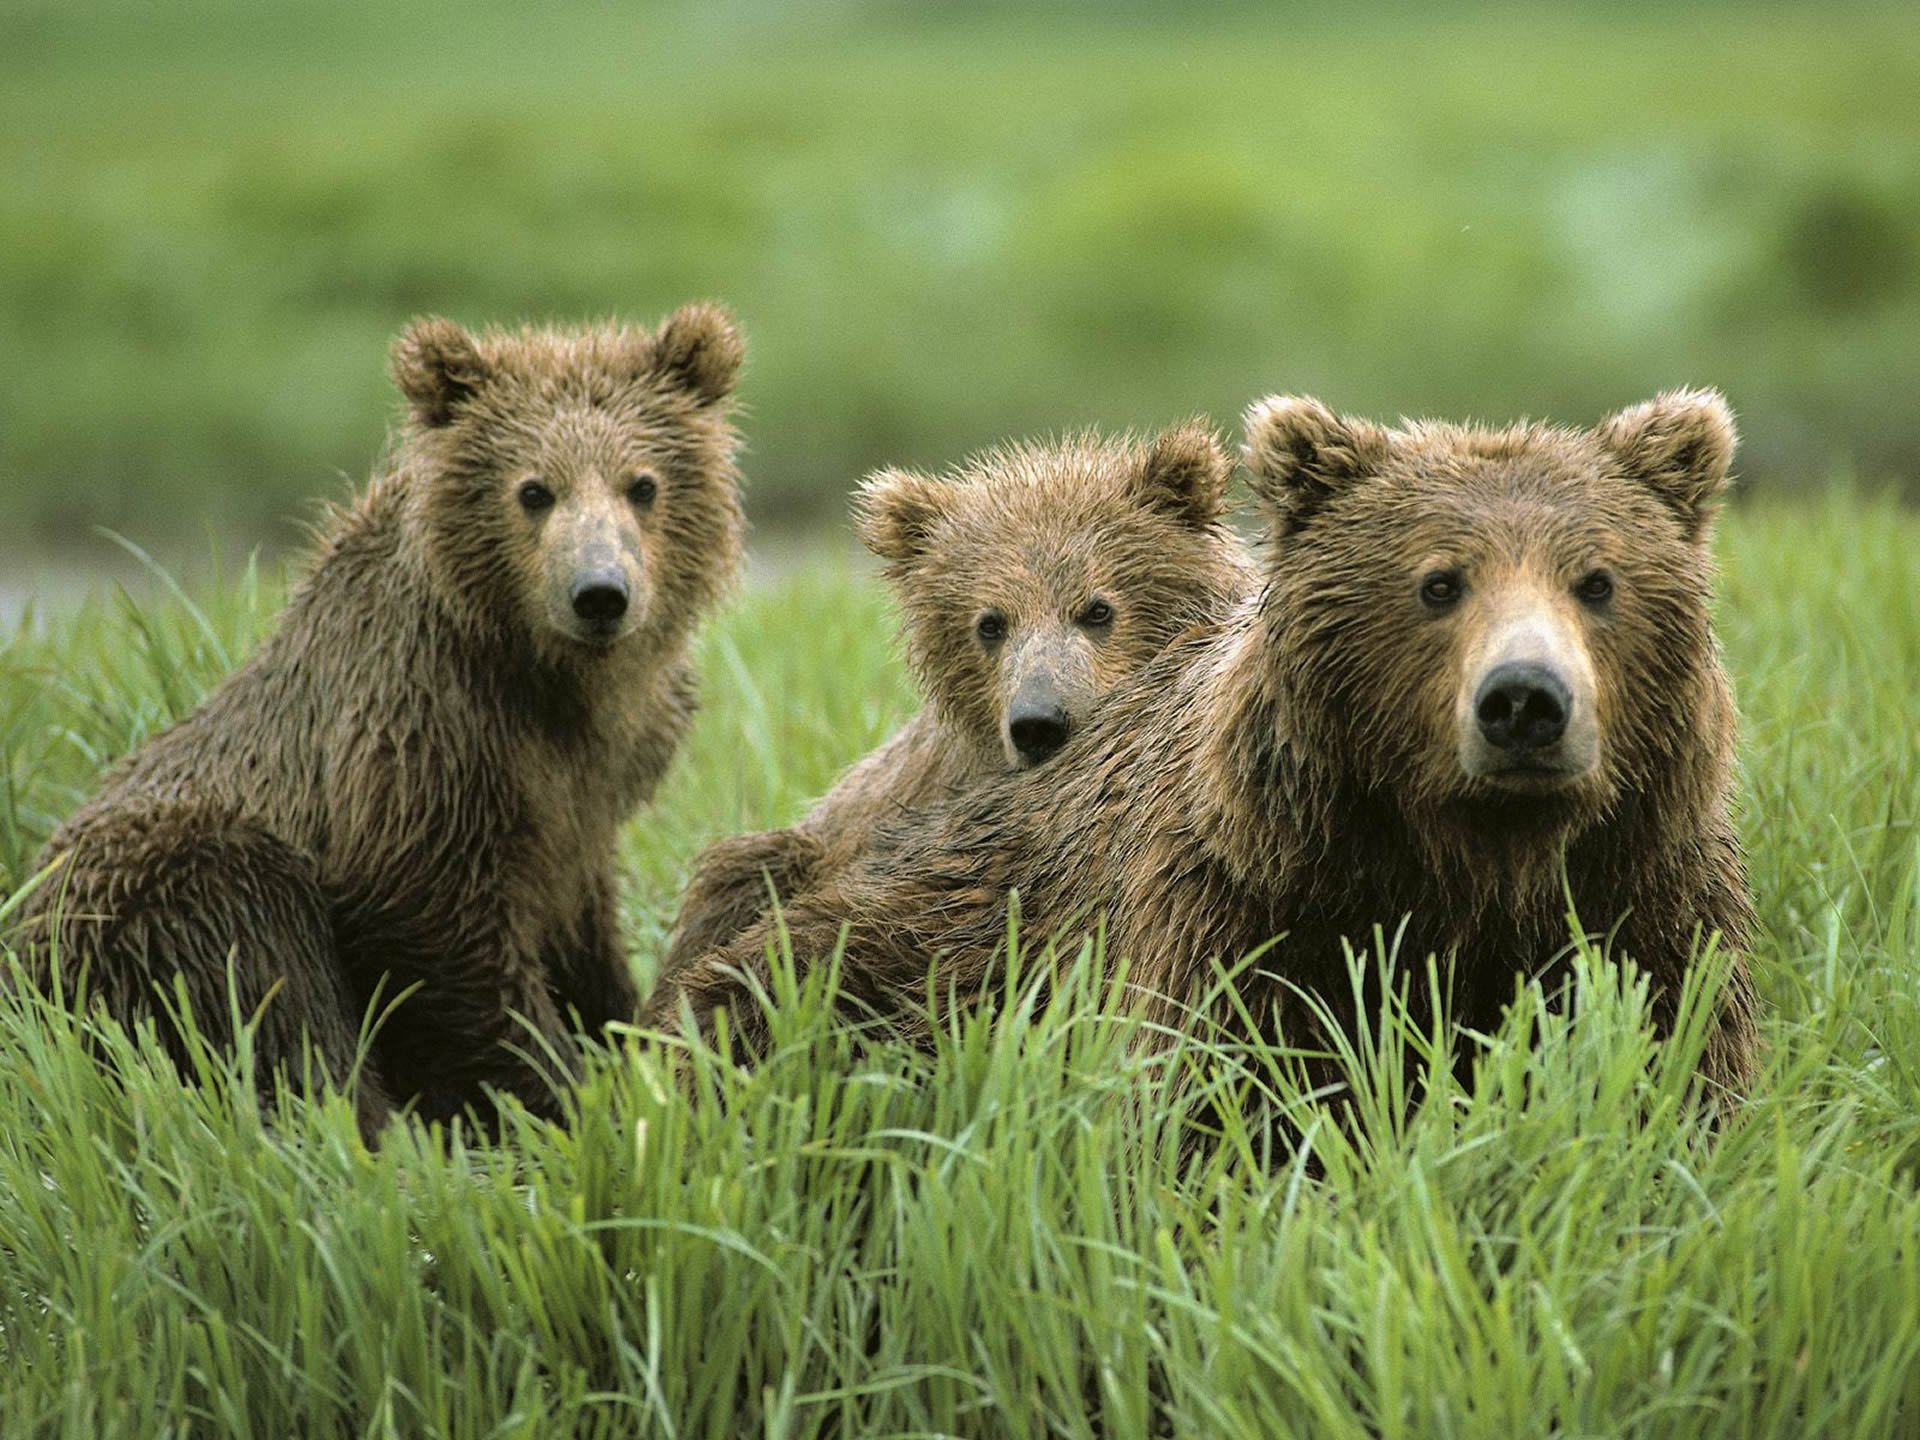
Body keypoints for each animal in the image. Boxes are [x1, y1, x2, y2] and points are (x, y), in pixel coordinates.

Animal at [14, 305, 745, 1138]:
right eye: (534, 489)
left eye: (642, 483)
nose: (599, 593)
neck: (549, 683)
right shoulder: (422, 736)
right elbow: (436, 935)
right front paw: (564, 1094)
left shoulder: (589, 793)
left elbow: (583, 930)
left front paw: (622, 1033)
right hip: (163, 888)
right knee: (264, 984)